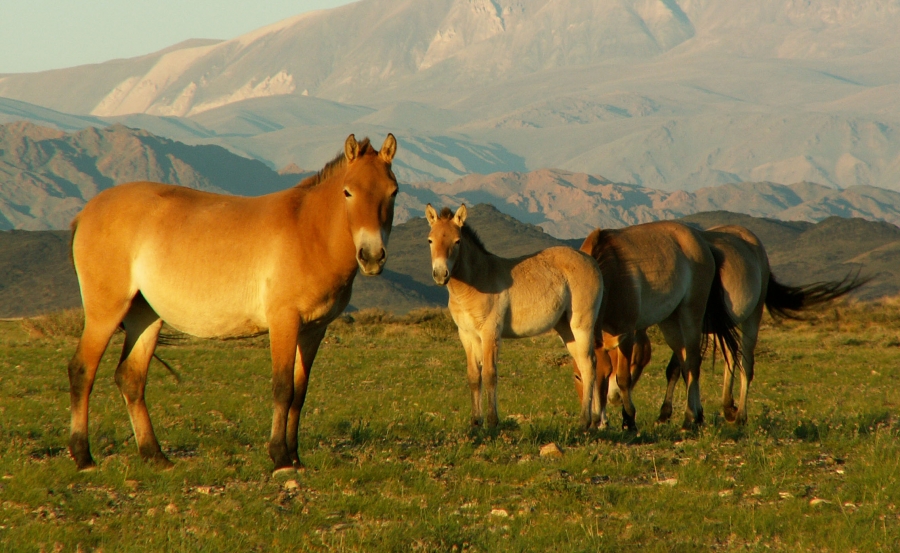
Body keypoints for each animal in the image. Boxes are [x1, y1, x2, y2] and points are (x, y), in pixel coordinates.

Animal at [67, 133, 398, 470]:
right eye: (348, 191)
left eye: (393, 192)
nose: (372, 257)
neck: (310, 231)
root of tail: (85, 213)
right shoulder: (284, 322)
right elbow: (283, 389)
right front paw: (280, 457)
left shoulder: (313, 330)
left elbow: (300, 393)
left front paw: (295, 457)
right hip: (105, 312)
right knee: (82, 370)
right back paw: (83, 455)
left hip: (145, 316)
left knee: (130, 378)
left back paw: (154, 455)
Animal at [424, 205, 604, 430]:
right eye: (430, 240)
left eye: (457, 241)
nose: (441, 274)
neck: (476, 280)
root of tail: (591, 262)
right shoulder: (466, 334)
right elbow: (474, 376)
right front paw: (475, 422)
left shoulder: (490, 332)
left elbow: (490, 374)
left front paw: (492, 421)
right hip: (566, 329)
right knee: (585, 364)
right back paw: (595, 420)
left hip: (582, 325)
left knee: (589, 364)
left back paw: (584, 422)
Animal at [572, 222, 740, 430]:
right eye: (577, 376)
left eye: (605, 373)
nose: (598, 422)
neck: (610, 272)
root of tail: (702, 242)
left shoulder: (627, 333)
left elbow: (623, 378)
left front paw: (629, 420)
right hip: (670, 323)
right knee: (685, 364)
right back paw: (696, 416)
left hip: (691, 314)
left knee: (693, 362)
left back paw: (690, 418)